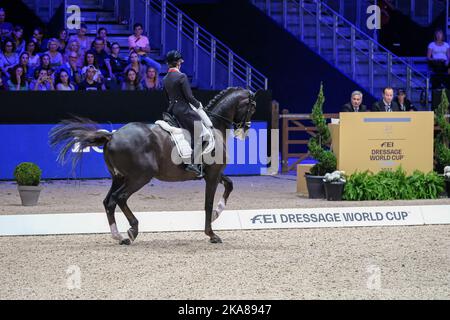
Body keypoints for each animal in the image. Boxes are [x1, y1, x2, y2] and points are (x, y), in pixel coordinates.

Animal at [49, 87, 256, 245]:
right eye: (253, 107)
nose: (245, 130)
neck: (214, 124)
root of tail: (112, 135)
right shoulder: (212, 175)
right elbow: (208, 203)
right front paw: (212, 233)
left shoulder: (212, 173)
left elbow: (229, 185)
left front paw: (216, 214)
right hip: (140, 177)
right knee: (119, 198)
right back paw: (132, 230)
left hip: (119, 177)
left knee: (109, 201)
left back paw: (119, 236)